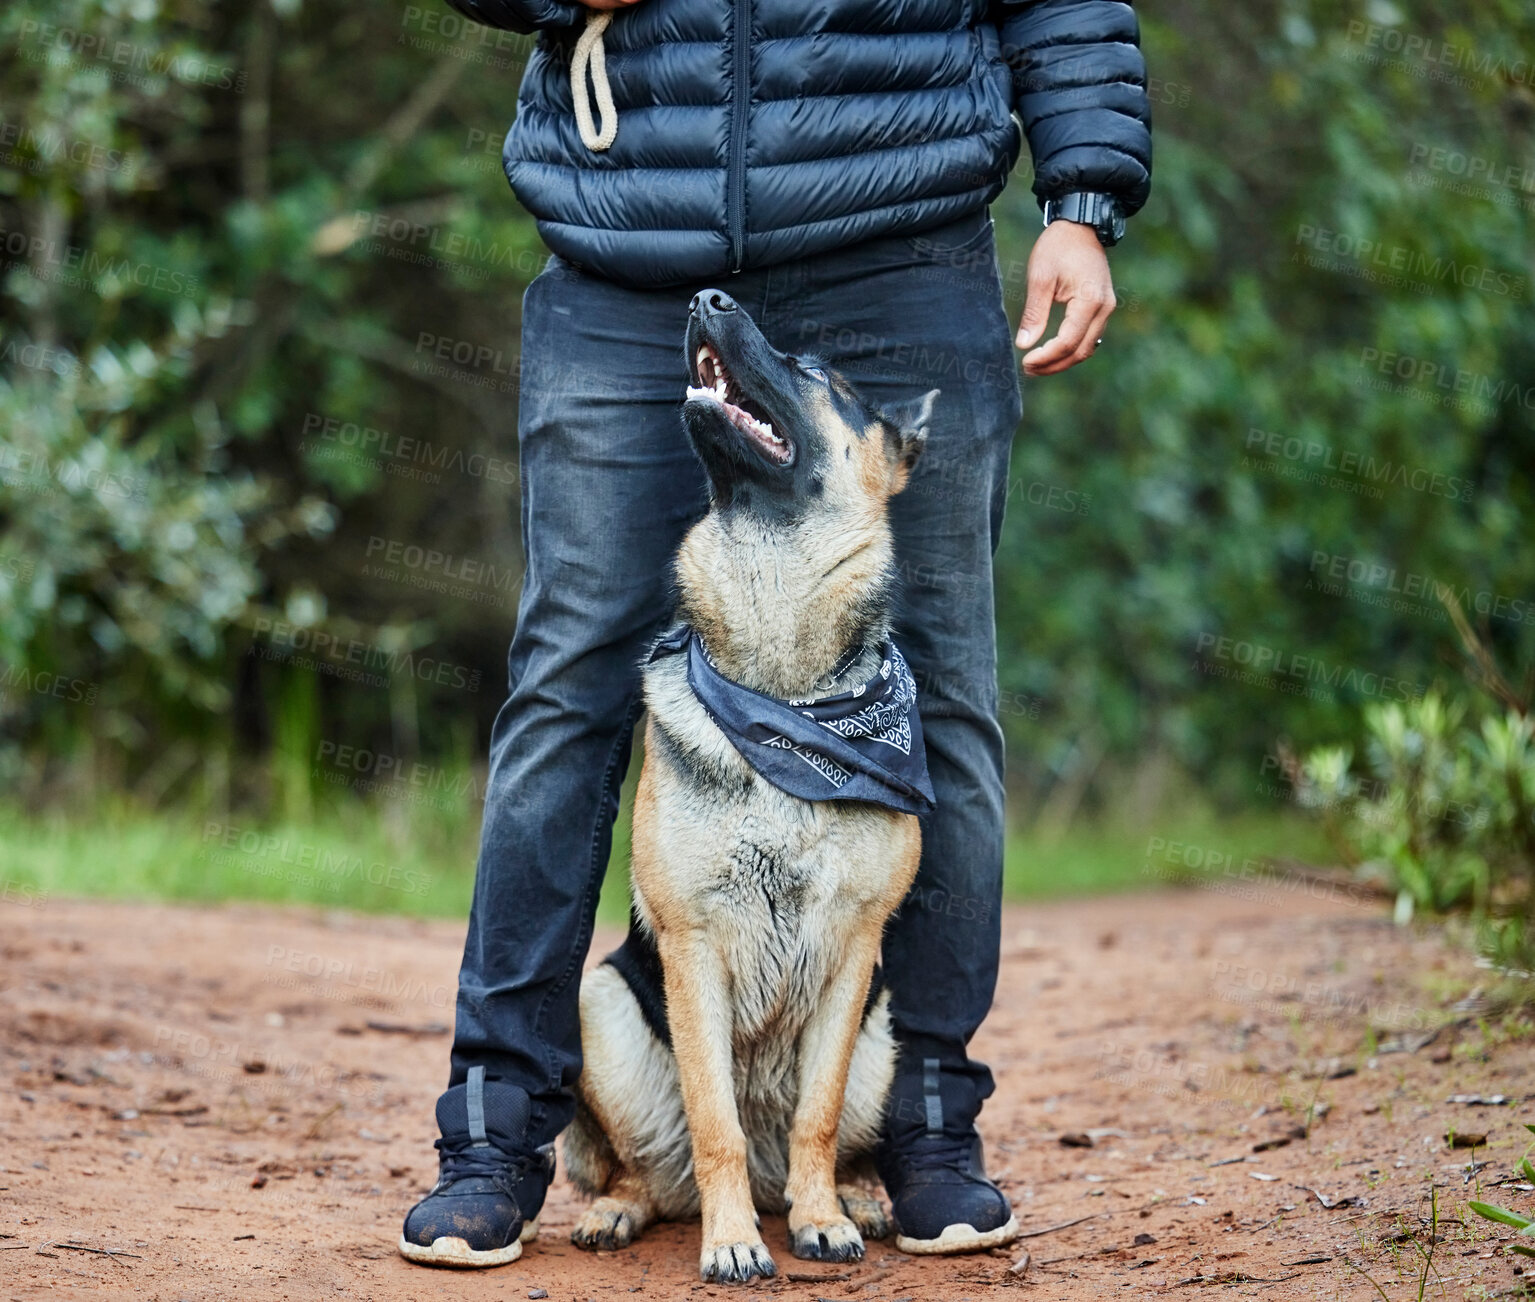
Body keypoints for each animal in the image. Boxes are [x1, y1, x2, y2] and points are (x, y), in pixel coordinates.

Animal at [564, 287, 933, 1283]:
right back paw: (625, 1211)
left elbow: (814, 1116)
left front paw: (822, 1221)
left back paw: (849, 1196)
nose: (706, 296)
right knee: (653, 1172)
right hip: (602, 1007)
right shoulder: (693, 951)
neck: (785, 703)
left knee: (818, 1138)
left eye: (818, 375)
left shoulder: (852, 952)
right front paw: (732, 1243)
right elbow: (713, 1122)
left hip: (883, 1035)